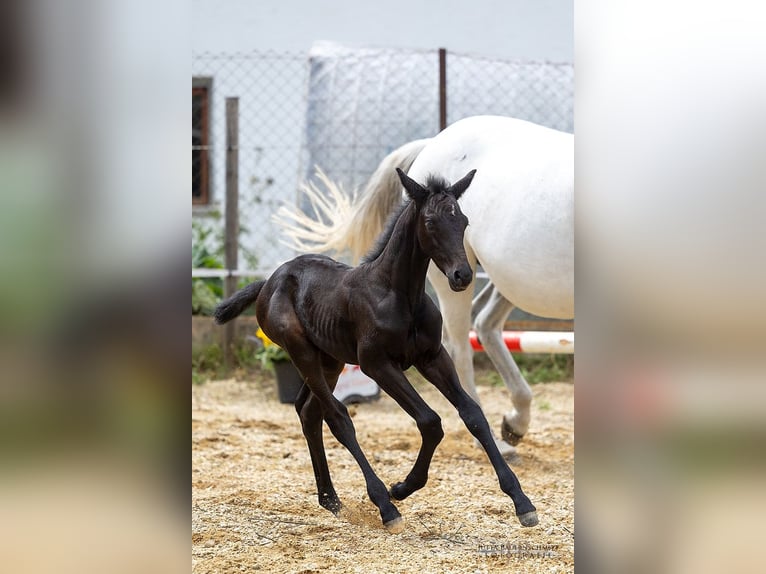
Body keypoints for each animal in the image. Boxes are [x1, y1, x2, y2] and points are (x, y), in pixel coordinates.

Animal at [280, 116, 572, 460]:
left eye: (463, 221)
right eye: (431, 223)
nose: (461, 275)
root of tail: (434, 141)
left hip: (498, 278)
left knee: (485, 325)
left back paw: (514, 425)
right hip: (458, 279)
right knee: (462, 345)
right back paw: (495, 438)